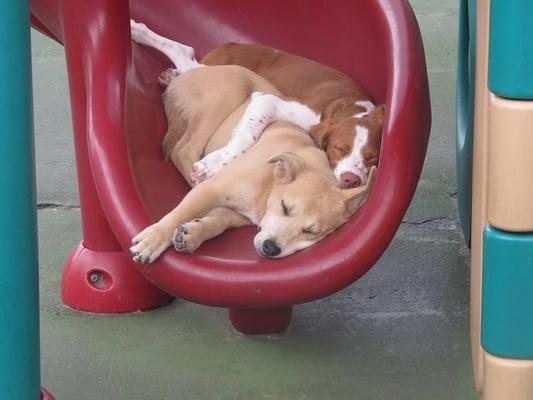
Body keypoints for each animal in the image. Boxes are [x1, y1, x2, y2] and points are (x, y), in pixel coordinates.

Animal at [129, 23, 376, 264]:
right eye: (286, 207)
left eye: (311, 232)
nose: (270, 248)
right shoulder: (213, 189)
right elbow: (181, 212)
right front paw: (154, 239)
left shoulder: (231, 212)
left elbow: (217, 223)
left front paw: (192, 234)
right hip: (227, 95)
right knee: (184, 148)